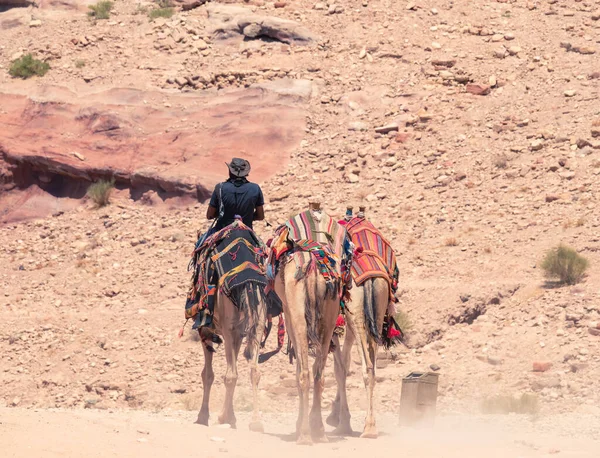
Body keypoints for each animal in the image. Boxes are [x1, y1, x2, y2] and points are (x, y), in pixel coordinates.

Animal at [326, 276, 392, 436]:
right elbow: (344, 363)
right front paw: (338, 418)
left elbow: (338, 368)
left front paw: (341, 422)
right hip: (377, 312)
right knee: (372, 368)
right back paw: (371, 427)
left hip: (355, 312)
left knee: (367, 367)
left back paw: (368, 428)